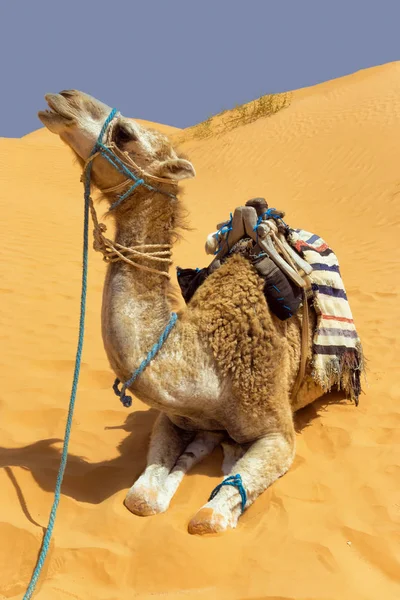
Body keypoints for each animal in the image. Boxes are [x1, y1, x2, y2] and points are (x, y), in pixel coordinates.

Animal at [38, 90, 324, 536]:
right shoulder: (172, 415)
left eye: (125, 134)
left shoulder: (278, 429)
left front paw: (224, 467)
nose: (63, 97)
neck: (206, 366)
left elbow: (207, 519)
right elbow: (139, 499)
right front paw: (194, 459)